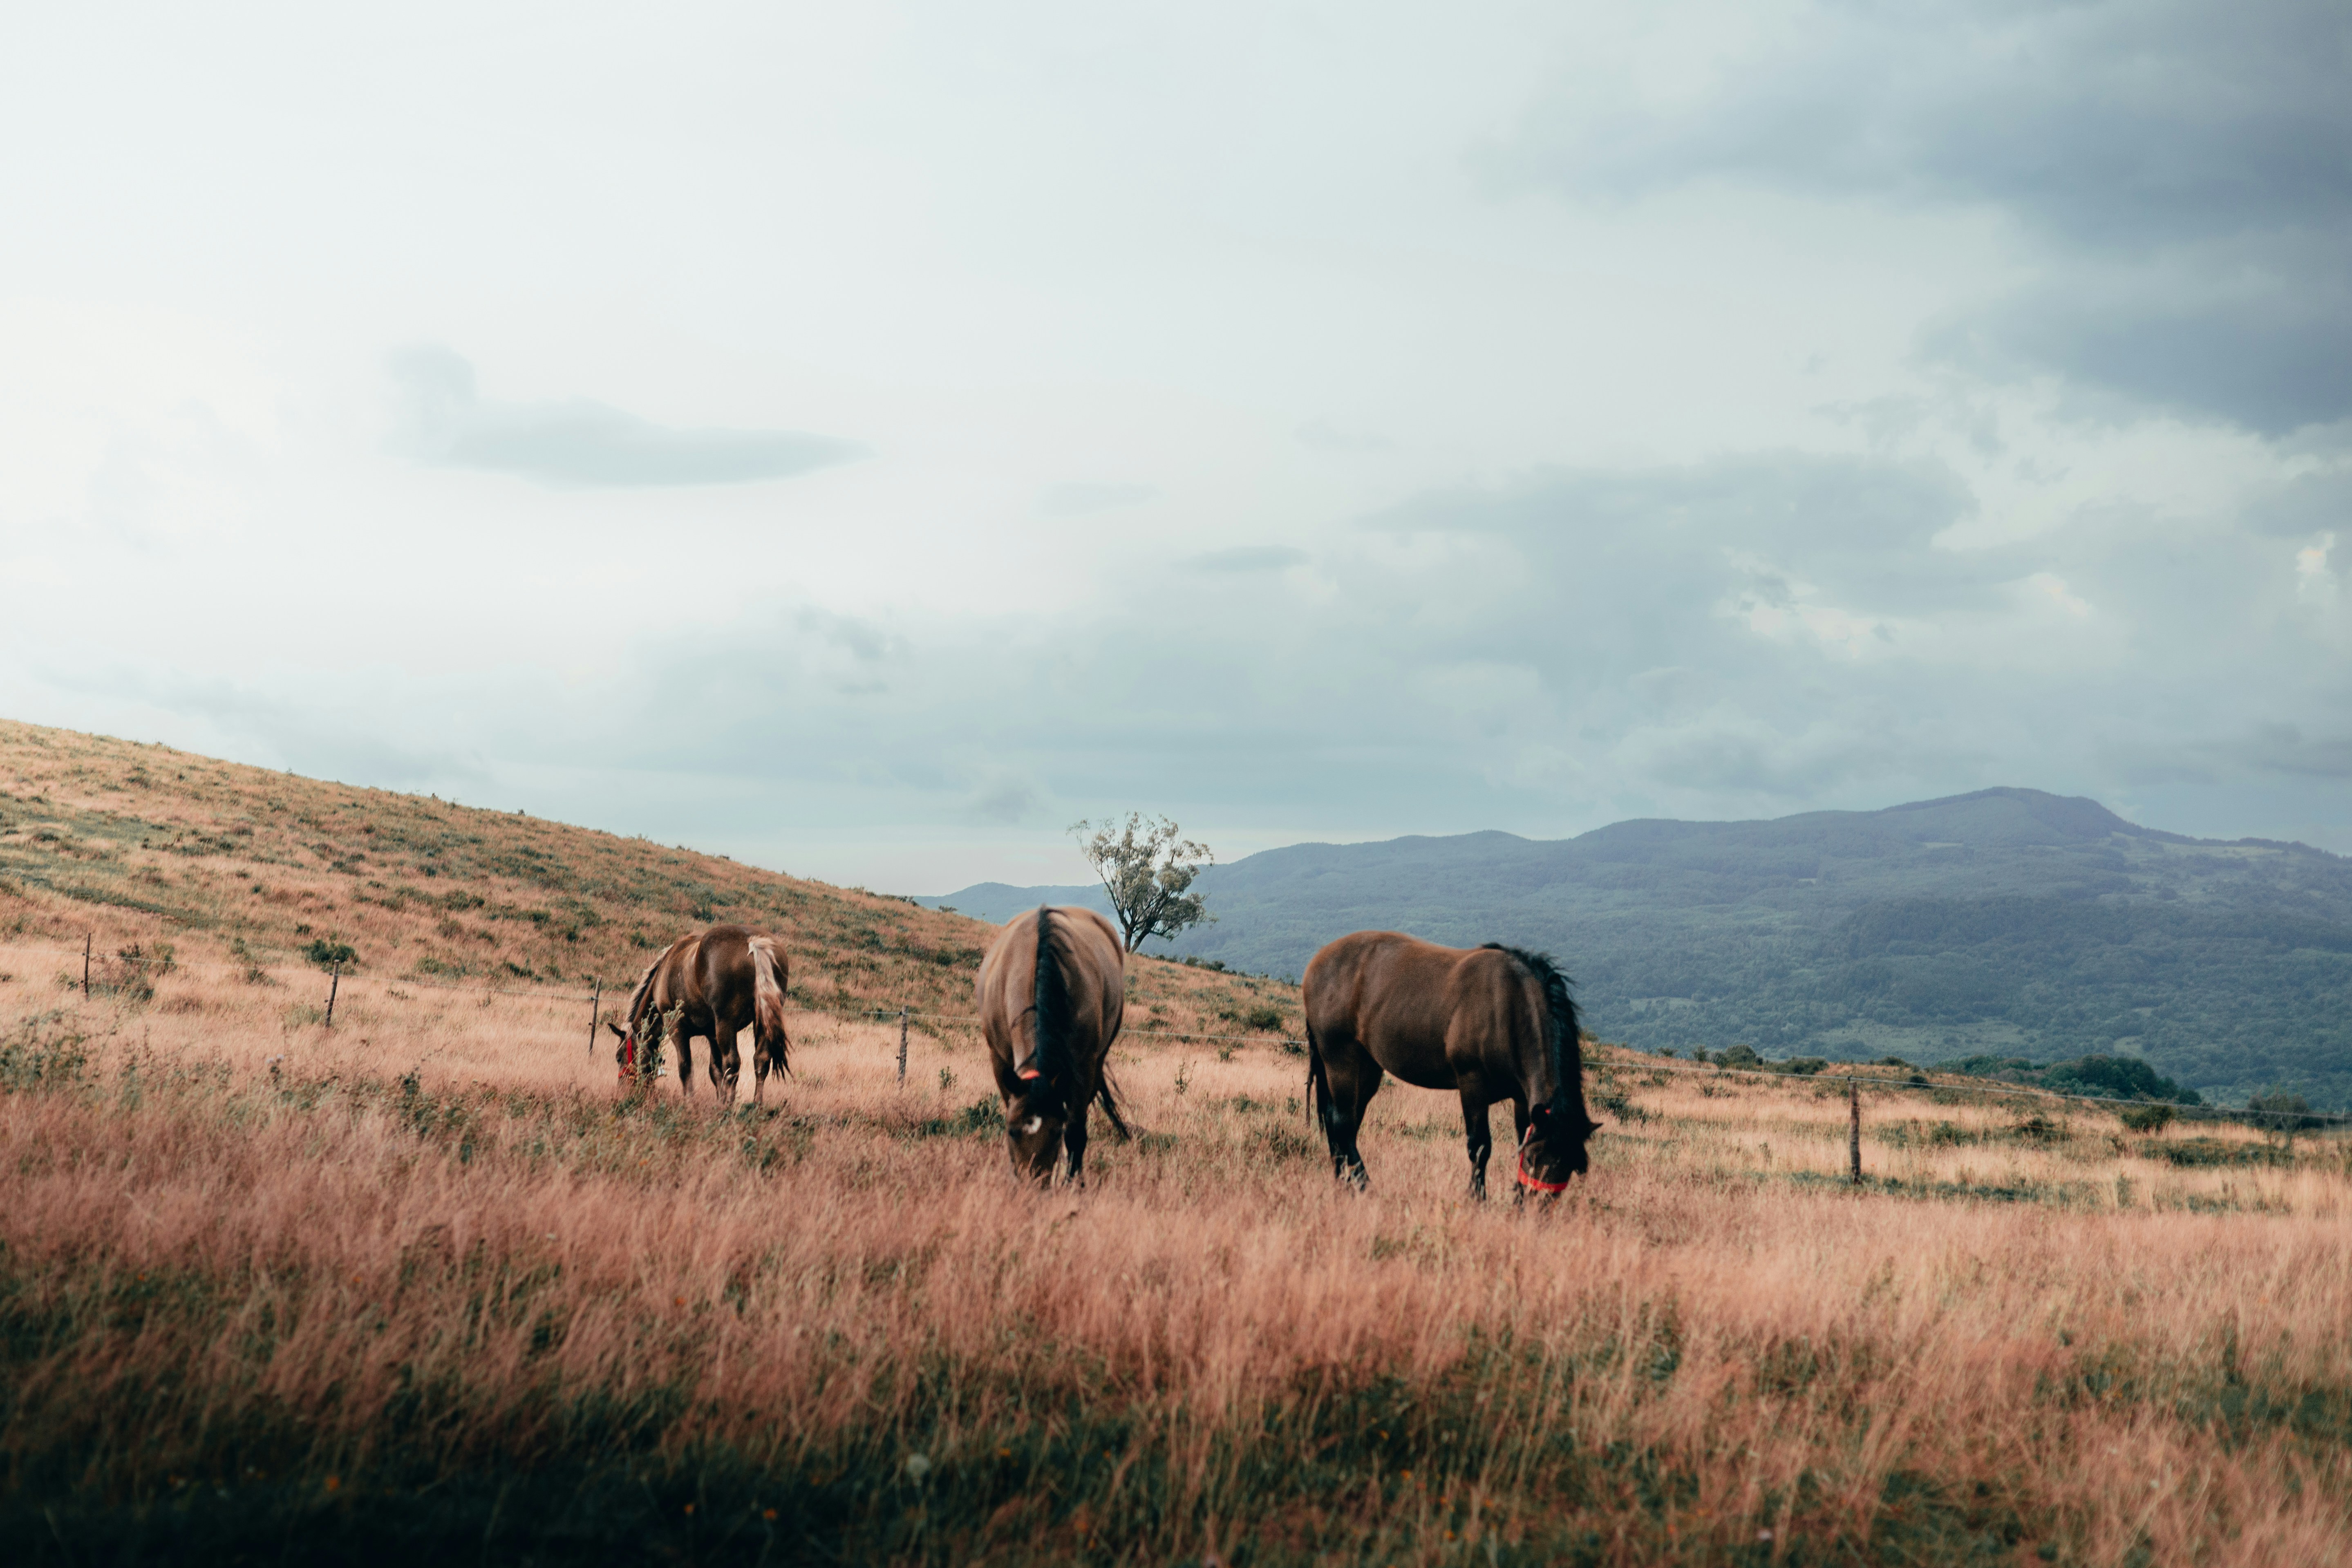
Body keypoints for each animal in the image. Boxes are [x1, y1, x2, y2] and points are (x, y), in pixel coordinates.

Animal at [606, 923, 792, 1104]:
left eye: (619, 1057)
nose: (623, 1089)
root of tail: (753, 942)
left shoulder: (677, 1029)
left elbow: (686, 1067)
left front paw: (690, 1102)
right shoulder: (713, 1035)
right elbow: (715, 1071)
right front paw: (719, 1100)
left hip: (726, 1024)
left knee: (733, 1064)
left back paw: (729, 1107)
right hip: (761, 1023)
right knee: (761, 1062)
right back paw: (755, 1106)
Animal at [977, 905, 1132, 1183]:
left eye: (1055, 1132)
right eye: (1012, 1131)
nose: (1033, 1184)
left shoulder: (1083, 1068)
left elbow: (1076, 1131)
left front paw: (1073, 1183)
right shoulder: (1000, 1062)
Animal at [1302, 931, 1598, 1198]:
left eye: (1571, 1165)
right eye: (1535, 1157)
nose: (1538, 1210)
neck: (1509, 1008)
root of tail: (1316, 963)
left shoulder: (1522, 1099)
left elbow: (1518, 1136)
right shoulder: (1472, 1085)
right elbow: (1480, 1147)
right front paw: (1477, 1199)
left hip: (1367, 1068)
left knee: (1345, 1123)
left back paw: (1343, 1181)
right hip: (1341, 1059)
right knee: (1342, 1122)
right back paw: (1364, 1186)